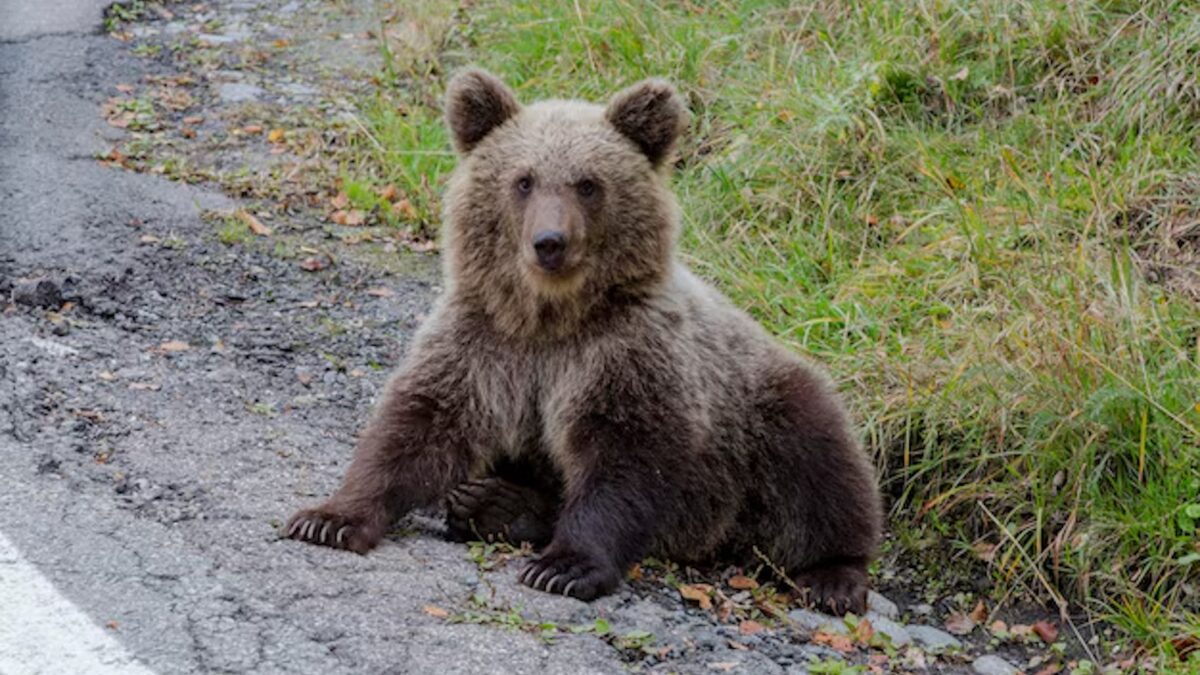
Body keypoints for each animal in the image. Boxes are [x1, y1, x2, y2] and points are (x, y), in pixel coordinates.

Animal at [285, 68, 883, 614]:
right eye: (524, 180)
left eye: (588, 183)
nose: (550, 241)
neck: (551, 318)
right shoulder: (485, 344)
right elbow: (415, 426)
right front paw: (330, 518)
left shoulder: (627, 353)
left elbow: (625, 458)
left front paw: (565, 566)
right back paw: (496, 503)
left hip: (760, 408)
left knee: (819, 467)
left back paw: (832, 577)